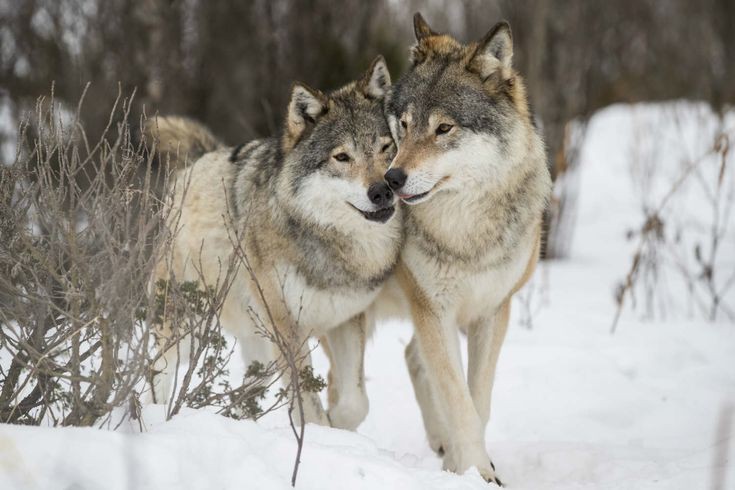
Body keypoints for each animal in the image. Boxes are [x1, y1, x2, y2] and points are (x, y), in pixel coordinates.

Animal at [148, 56, 402, 430]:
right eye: (342, 157)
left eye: (386, 148)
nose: (382, 191)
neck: (330, 242)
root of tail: (194, 163)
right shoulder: (287, 328)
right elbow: (308, 405)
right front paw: (321, 434)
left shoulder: (346, 320)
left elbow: (355, 402)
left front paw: (340, 427)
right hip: (187, 326)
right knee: (155, 371)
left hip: (259, 346)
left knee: (246, 390)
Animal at [380, 14, 552, 484]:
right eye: (405, 125)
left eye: (444, 128)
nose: (391, 179)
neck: (464, 231)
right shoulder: (433, 310)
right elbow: (460, 404)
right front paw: (475, 470)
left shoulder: (493, 312)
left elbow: (478, 400)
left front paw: (472, 468)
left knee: (412, 357)